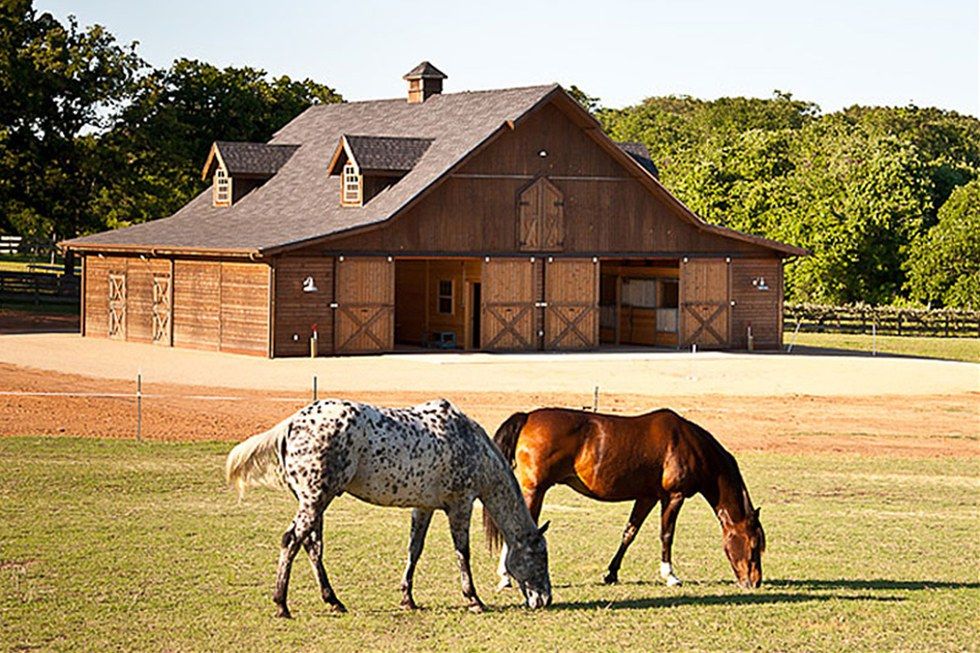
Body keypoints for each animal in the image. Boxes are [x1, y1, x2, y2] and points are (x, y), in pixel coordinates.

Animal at [226, 398, 556, 616]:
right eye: (541, 557)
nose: (545, 599)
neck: (470, 442)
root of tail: (293, 422)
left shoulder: (424, 508)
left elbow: (414, 550)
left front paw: (407, 598)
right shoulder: (460, 505)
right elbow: (463, 553)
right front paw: (473, 599)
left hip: (316, 503)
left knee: (312, 547)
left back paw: (333, 601)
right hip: (316, 500)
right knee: (292, 541)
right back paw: (282, 604)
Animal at [488, 408, 764, 592]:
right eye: (753, 545)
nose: (755, 581)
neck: (688, 444)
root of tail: (528, 417)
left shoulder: (647, 497)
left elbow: (629, 533)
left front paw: (611, 573)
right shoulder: (673, 497)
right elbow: (667, 535)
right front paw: (670, 575)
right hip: (534, 491)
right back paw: (505, 576)